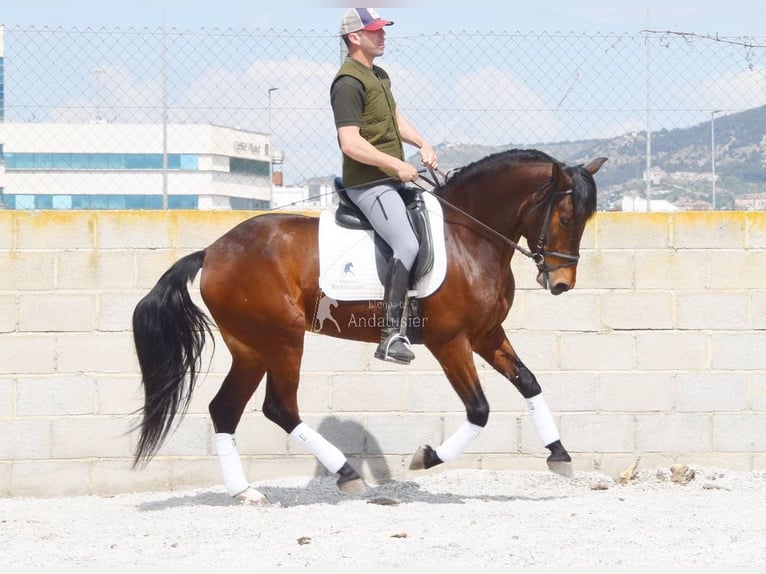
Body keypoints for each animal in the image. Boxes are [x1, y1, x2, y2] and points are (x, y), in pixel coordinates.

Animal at [131, 148, 607, 505]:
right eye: (566, 218)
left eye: (585, 220)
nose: (561, 283)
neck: (470, 235)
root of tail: (212, 252)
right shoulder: (450, 341)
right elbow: (479, 409)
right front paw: (426, 457)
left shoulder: (487, 335)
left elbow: (529, 382)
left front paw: (559, 454)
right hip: (284, 340)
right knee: (280, 408)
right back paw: (345, 473)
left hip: (251, 348)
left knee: (224, 409)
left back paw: (245, 492)